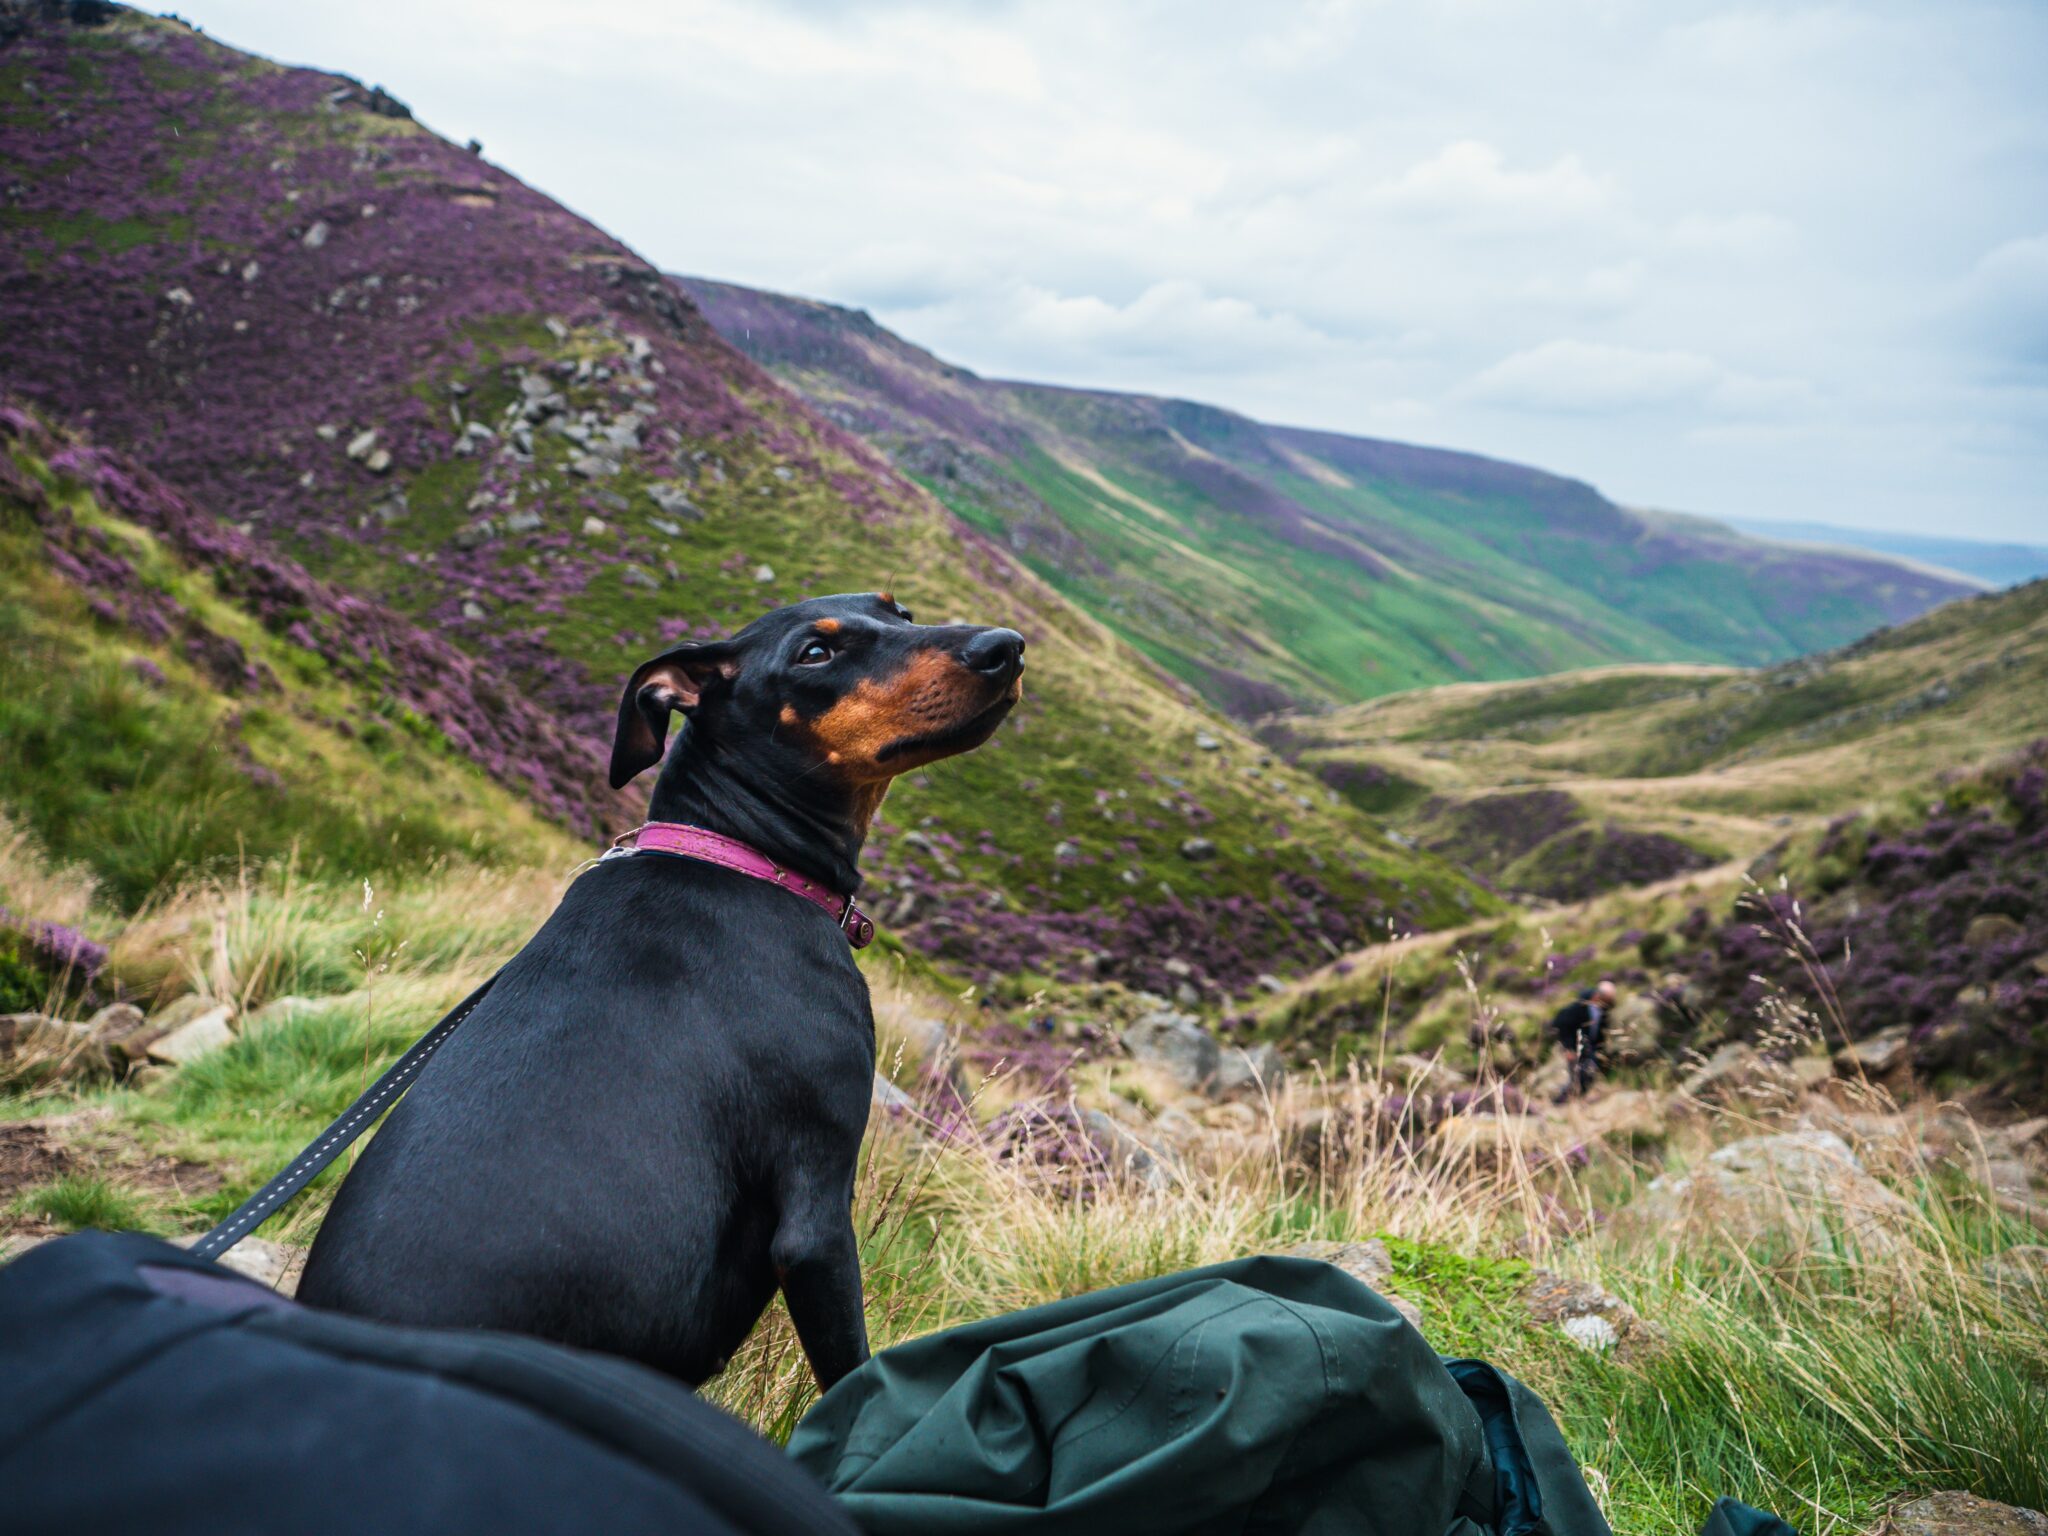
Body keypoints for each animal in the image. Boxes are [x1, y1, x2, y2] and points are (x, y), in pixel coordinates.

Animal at [299, 593, 1024, 1392]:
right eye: (815, 654)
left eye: (901, 612)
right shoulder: (818, 1207)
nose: (1007, 647)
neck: (738, 853)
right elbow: (849, 1375)